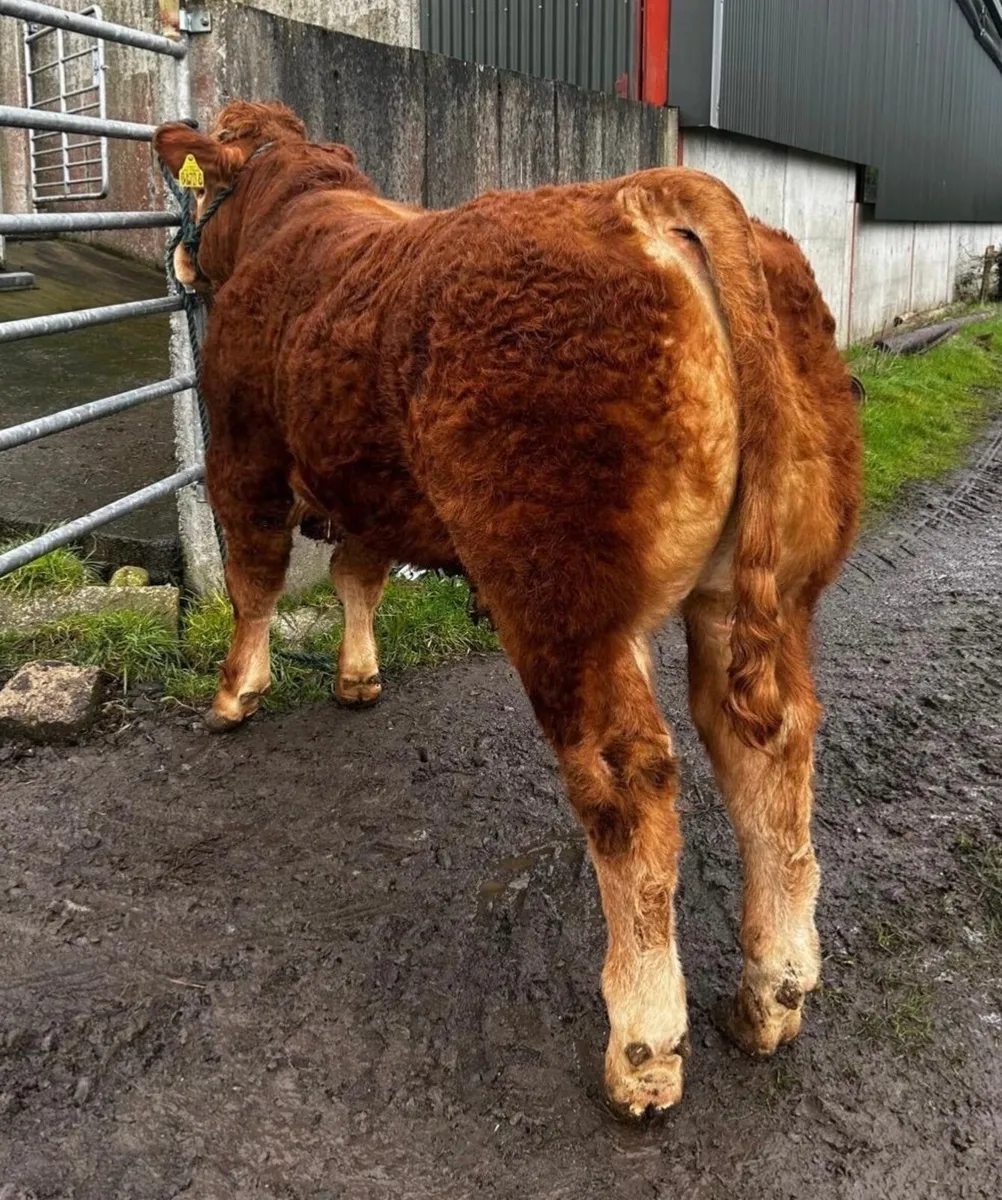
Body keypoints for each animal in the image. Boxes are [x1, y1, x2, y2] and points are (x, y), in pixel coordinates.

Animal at [153, 101, 862, 1117]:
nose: (176, 258)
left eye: (198, 187)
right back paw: (772, 993)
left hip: (560, 599)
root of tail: (647, 193)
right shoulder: (375, 489)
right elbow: (358, 576)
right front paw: (357, 676)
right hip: (761, 586)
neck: (293, 216)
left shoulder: (243, 453)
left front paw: (233, 694)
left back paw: (644, 1043)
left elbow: (255, 582)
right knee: (767, 747)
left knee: (630, 782)